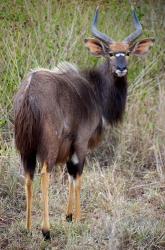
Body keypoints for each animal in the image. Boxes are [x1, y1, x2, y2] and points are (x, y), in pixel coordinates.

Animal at [14, 6, 155, 239]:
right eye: (110, 53)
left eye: (127, 52)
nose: (121, 68)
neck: (95, 91)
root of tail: (28, 91)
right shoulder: (81, 142)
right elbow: (78, 176)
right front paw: (78, 218)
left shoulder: (70, 147)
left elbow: (71, 175)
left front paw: (69, 216)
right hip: (49, 145)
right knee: (44, 174)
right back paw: (46, 230)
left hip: (25, 148)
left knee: (27, 176)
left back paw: (27, 227)